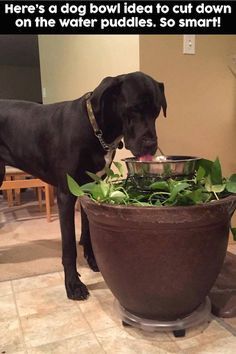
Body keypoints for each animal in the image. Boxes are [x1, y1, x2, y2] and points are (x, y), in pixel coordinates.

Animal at [0, 72, 166, 298]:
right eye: (133, 108)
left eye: (157, 111)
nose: (151, 144)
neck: (95, 129)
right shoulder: (65, 195)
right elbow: (69, 245)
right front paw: (73, 284)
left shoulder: (92, 188)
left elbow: (88, 228)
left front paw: (93, 260)